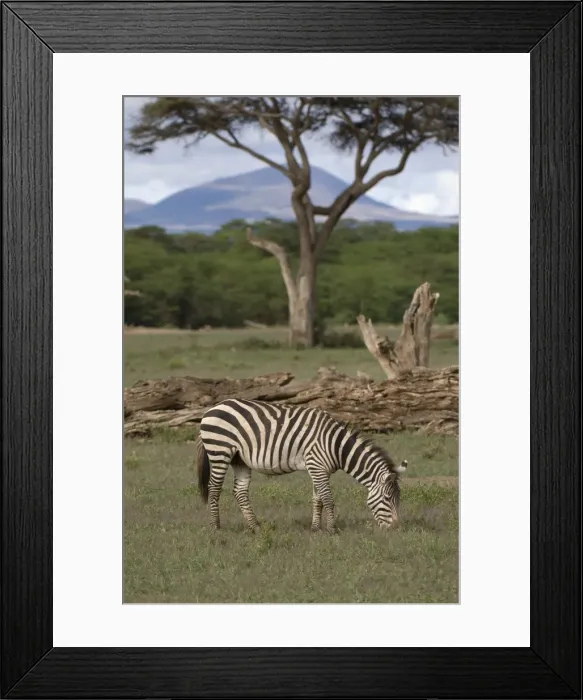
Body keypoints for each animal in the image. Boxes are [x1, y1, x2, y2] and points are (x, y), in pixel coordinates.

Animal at [195, 397, 407, 534]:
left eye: (398, 498)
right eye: (387, 498)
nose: (396, 528)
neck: (335, 445)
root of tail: (213, 408)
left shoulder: (319, 469)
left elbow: (318, 499)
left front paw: (315, 529)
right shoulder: (317, 466)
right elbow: (328, 499)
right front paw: (333, 529)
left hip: (239, 459)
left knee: (239, 492)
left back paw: (255, 527)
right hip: (220, 450)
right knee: (214, 488)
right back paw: (216, 527)